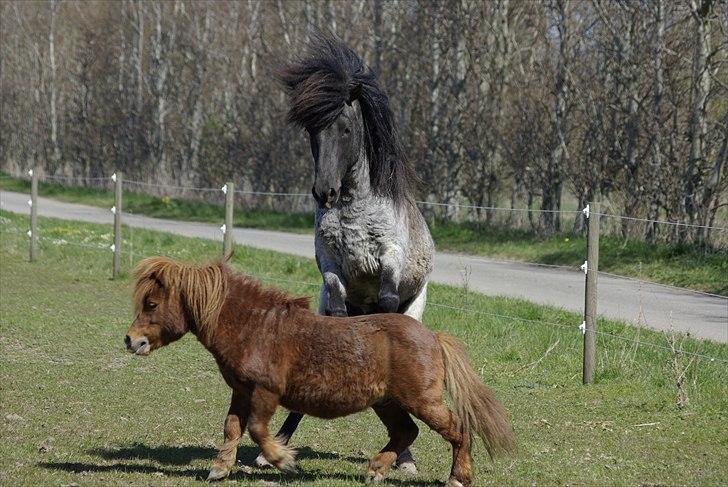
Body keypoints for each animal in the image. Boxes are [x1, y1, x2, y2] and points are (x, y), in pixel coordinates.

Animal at [123, 258, 512, 486]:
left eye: (152, 303)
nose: (131, 340)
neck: (256, 327)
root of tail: (432, 336)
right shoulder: (241, 390)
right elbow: (232, 427)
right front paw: (220, 468)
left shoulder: (265, 392)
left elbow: (258, 429)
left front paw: (283, 460)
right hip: (387, 403)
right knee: (406, 433)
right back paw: (375, 470)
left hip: (422, 401)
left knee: (457, 429)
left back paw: (458, 477)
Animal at [253, 33, 436, 472]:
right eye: (312, 130)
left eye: (348, 127)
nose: (325, 192)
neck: (356, 208)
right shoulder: (330, 264)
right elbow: (336, 311)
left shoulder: (389, 258)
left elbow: (386, 298)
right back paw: (273, 448)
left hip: (415, 308)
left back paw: (405, 457)